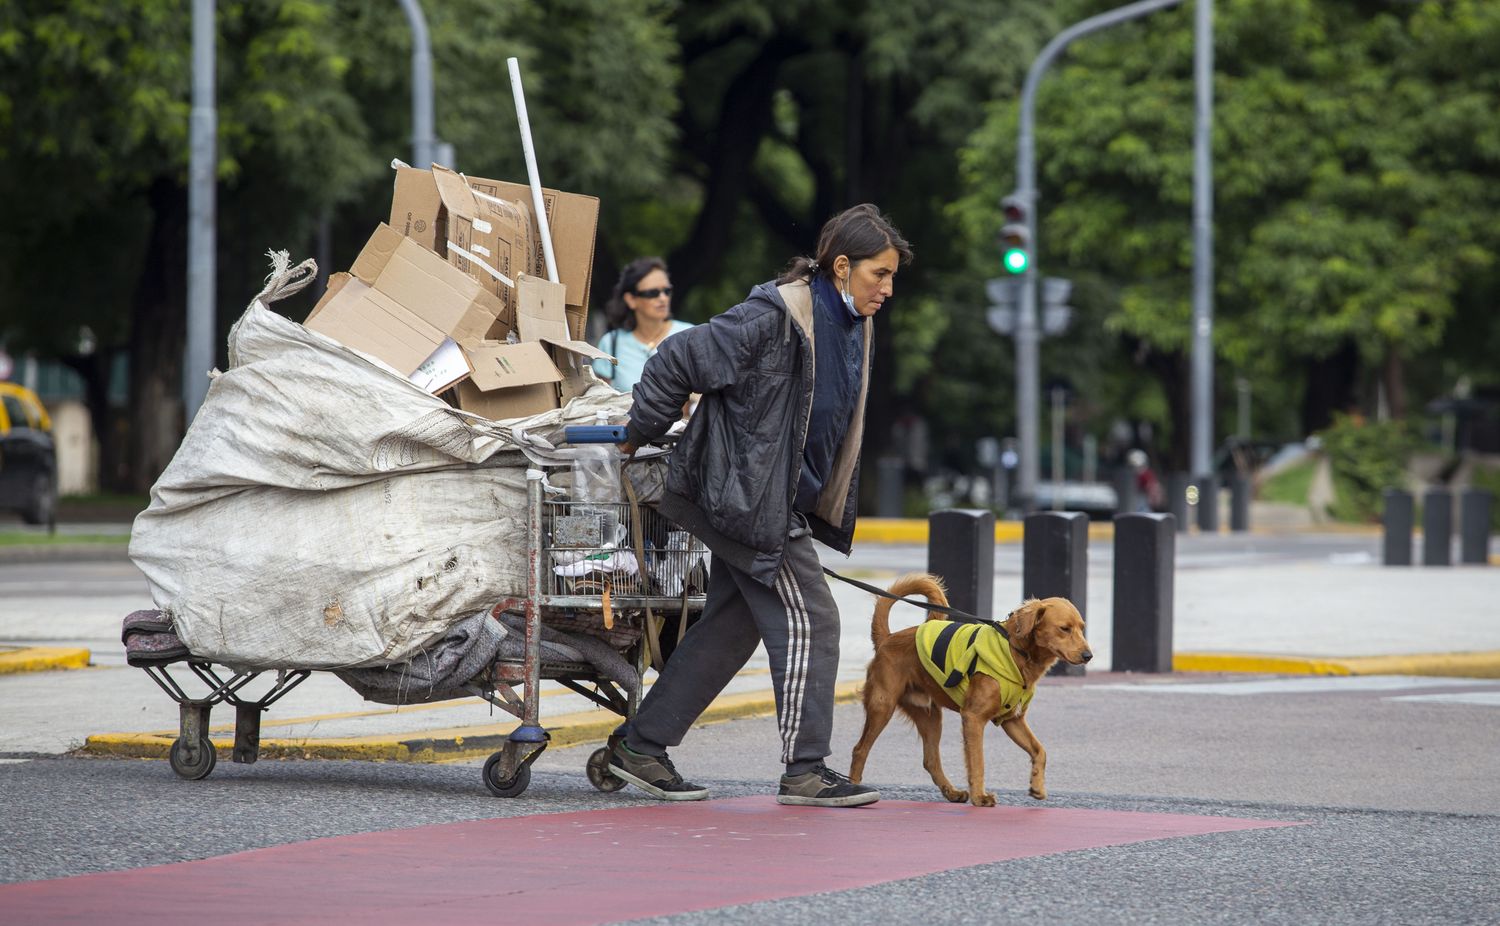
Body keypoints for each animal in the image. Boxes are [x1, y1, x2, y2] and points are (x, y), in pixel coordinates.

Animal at [858, 573, 1092, 804]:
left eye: (1081, 628)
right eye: (1064, 629)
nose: (1088, 656)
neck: (1015, 651)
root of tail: (887, 638)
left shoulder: (1013, 721)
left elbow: (1040, 751)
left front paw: (1037, 785)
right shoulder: (973, 718)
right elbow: (977, 761)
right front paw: (980, 797)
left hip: (930, 716)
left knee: (930, 760)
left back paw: (952, 792)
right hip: (882, 707)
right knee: (860, 750)